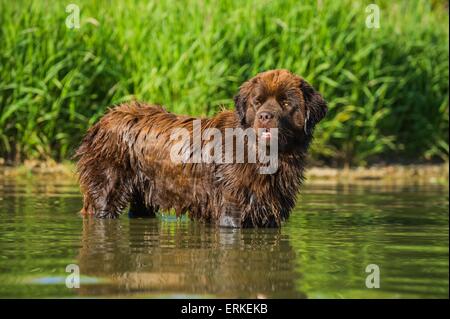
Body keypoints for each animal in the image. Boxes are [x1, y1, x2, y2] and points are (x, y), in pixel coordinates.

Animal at [74, 70, 326, 230]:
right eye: (258, 101)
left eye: (286, 103)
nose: (265, 116)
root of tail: (102, 120)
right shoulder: (232, 205)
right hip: (107, 183)